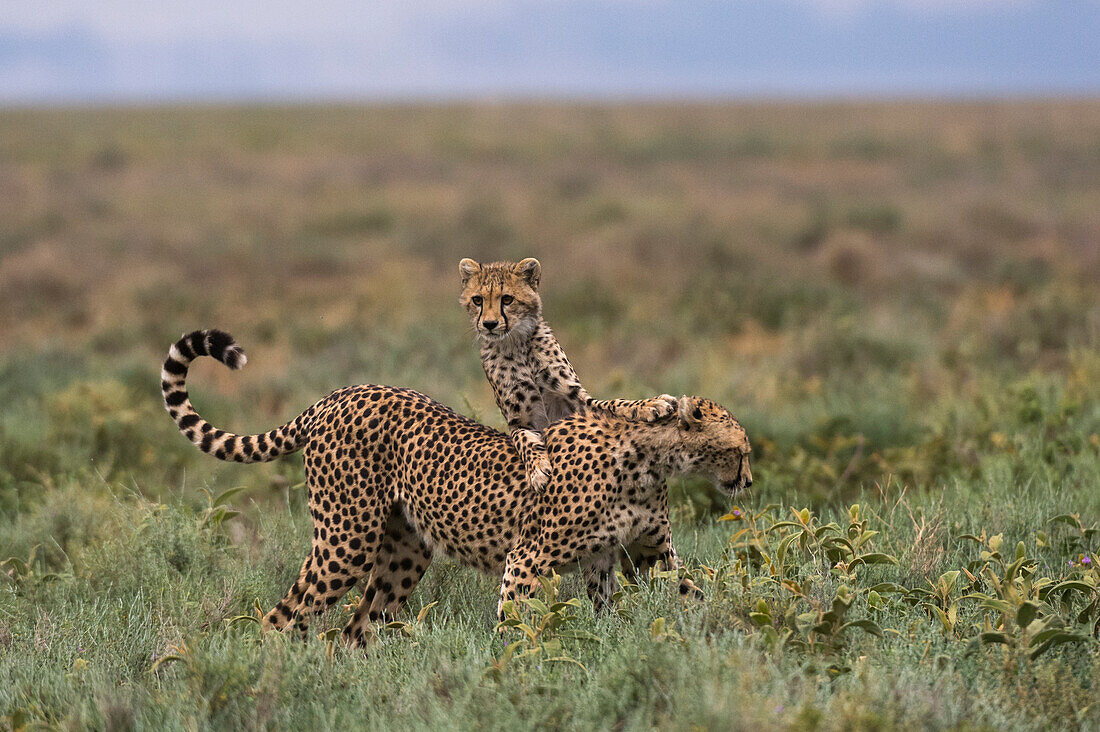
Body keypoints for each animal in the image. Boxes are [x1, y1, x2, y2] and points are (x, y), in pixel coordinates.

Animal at [160, 328, 748, 642]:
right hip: (346, 540)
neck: (652, 459)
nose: (746, 478)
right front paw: (511, 677)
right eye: (740, 449)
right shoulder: (527, 560)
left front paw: (727, 632)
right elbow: (515, 628)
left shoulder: (643, 555)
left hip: (403, 552)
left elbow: (693, 593)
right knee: (285, 616)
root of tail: (338, 395)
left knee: (354, 630)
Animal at [457, 256, 677, 490]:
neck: (516, 344)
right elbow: (524, 440)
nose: (489, 324)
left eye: (507, 299)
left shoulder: (574, 401)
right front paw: (537, 469)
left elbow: (613, 403)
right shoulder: (519, 421)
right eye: (478, 300)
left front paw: (651, 404)